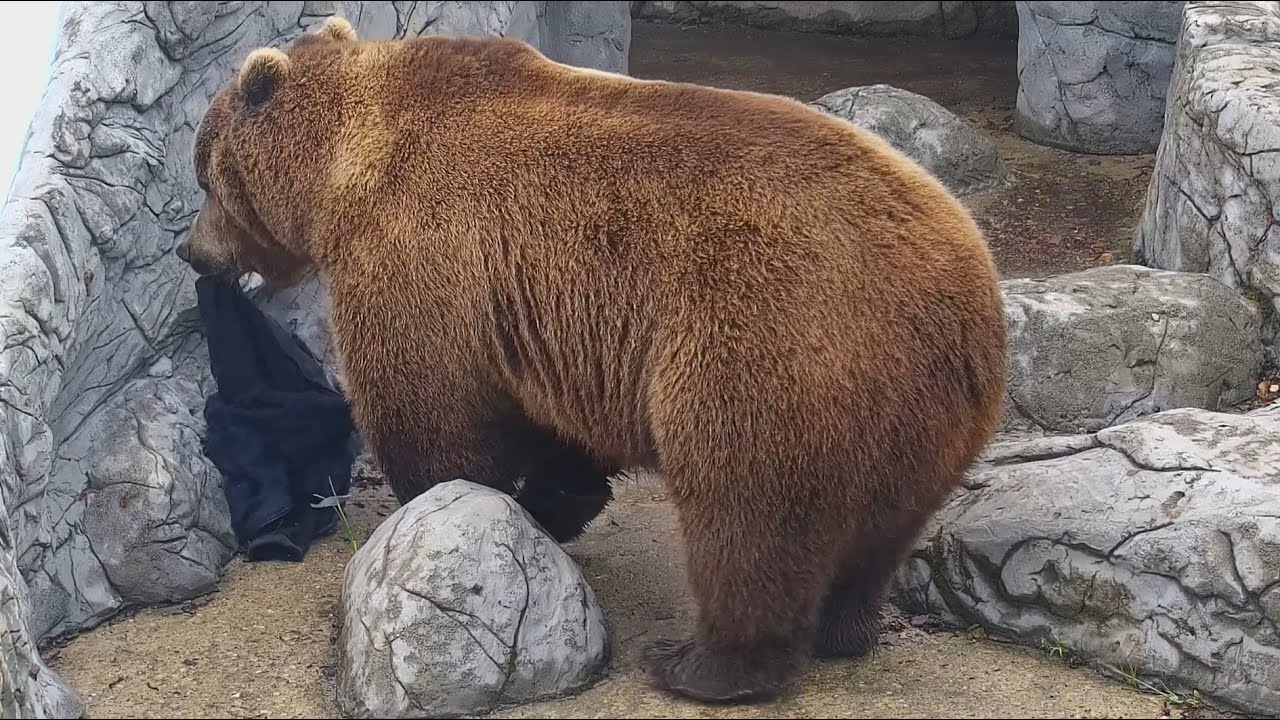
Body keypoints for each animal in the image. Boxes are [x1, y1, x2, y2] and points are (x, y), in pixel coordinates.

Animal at [177, 16, 1008, 705]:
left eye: (205, 177)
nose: (191, 251)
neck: (346, 163)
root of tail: (960, 287)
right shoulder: (537, 319)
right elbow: (555, 427)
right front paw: (555, 501)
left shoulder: (419, 254)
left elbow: (430, 408)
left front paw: (442, 496)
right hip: (925, 412)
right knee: (877, 534)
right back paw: (845, 629)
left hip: (774, 347)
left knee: (750, 516)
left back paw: (700, 665)